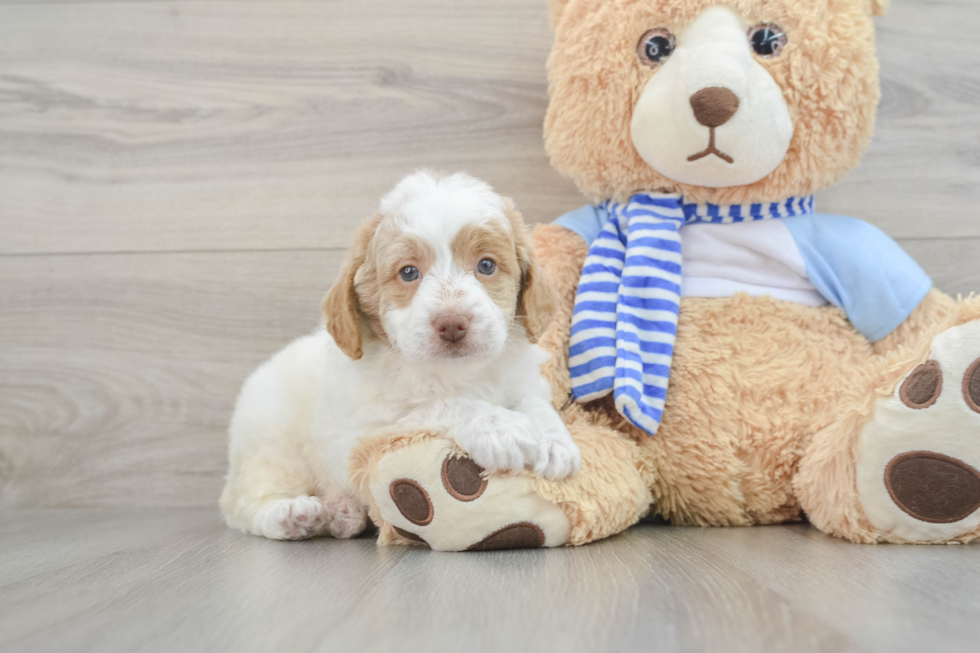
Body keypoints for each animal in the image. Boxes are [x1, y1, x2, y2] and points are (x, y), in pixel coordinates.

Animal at [220, 169, 580, 540]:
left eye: (486, 265)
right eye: (408, 272)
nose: (452, 323)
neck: (459, 371)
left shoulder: (524, 379)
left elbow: (534, 401)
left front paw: (553, 440)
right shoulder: (369, 428)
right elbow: (437, 404)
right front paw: (501, 429)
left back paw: (343, 514)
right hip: (269, 443)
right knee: (241, 504)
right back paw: (292, 515)